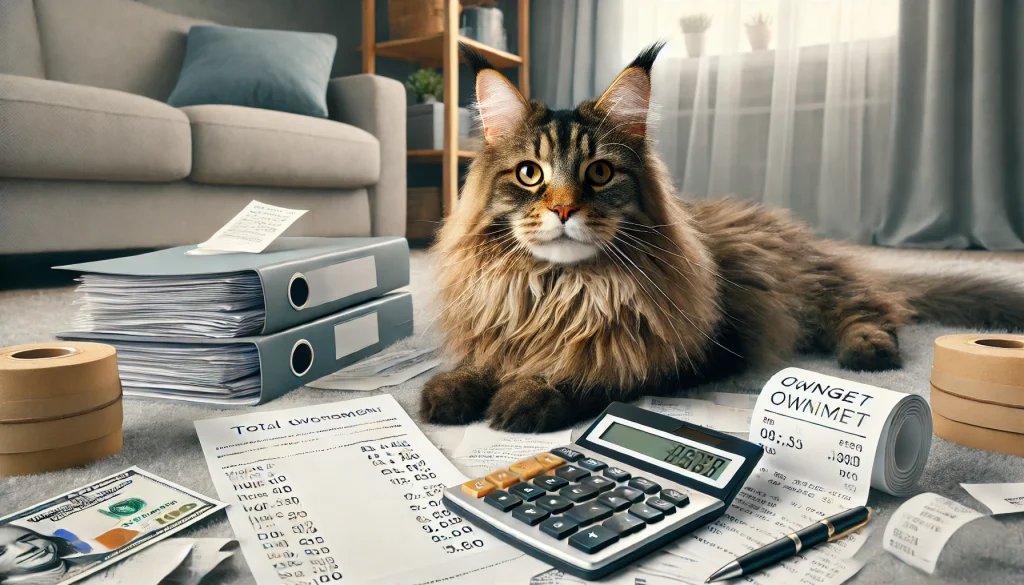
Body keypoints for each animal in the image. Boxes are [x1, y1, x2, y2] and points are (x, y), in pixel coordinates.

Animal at [417, 42, 1024, 434]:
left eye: (599, 174)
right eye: (529, 174)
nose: (564, 208)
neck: (558, 292)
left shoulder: (688, 354)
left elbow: (594, 372)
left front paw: (527, 394)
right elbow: (481, 362)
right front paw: (453, 389)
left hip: (807, 286)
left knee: (872, 308)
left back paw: (867, 351)